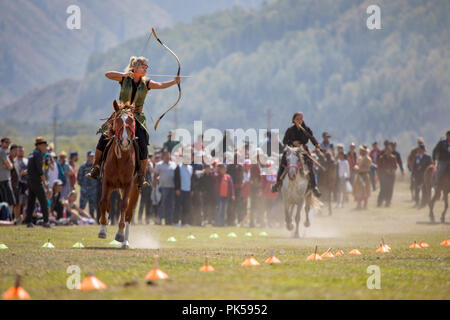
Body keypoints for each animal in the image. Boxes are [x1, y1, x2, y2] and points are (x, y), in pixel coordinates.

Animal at [98, 100, 141, 248]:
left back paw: (125, 242)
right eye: (117, 120)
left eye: (132, 120)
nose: (125, 141)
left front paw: (120, 234)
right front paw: (103, 229)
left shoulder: (128, 184)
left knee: (129, 213)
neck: (120, 159)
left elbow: (123, 205)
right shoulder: (106, 181)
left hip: (134, 190)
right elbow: (104, 202)